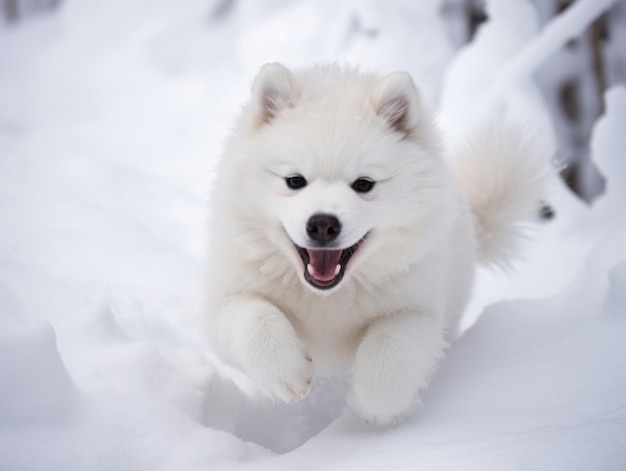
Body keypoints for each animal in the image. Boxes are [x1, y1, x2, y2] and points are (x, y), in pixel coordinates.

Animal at [204, 63, 544, 428]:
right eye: (295, 181)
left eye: (364, 184)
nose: (323, 224)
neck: (327, 299)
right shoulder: (228, 297)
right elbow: (254, 317)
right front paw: (287, 374)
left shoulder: (418, 309)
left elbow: (392, 344)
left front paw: (374, 404)